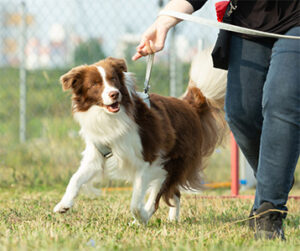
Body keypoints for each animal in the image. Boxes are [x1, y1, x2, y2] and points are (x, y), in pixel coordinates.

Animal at [54, 48, 227, 225]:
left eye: (113, 79)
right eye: (94, 84)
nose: (114, 94)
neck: (112, 117)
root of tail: (189, 105)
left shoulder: (148, 160)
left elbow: (136, 201)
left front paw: (141, 216)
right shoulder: (97, 154)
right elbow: (75, 178)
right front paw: (64, 204)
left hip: (172, 162)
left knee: (161, 193)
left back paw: (146, 216)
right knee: (174, 193)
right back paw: (172, 218)